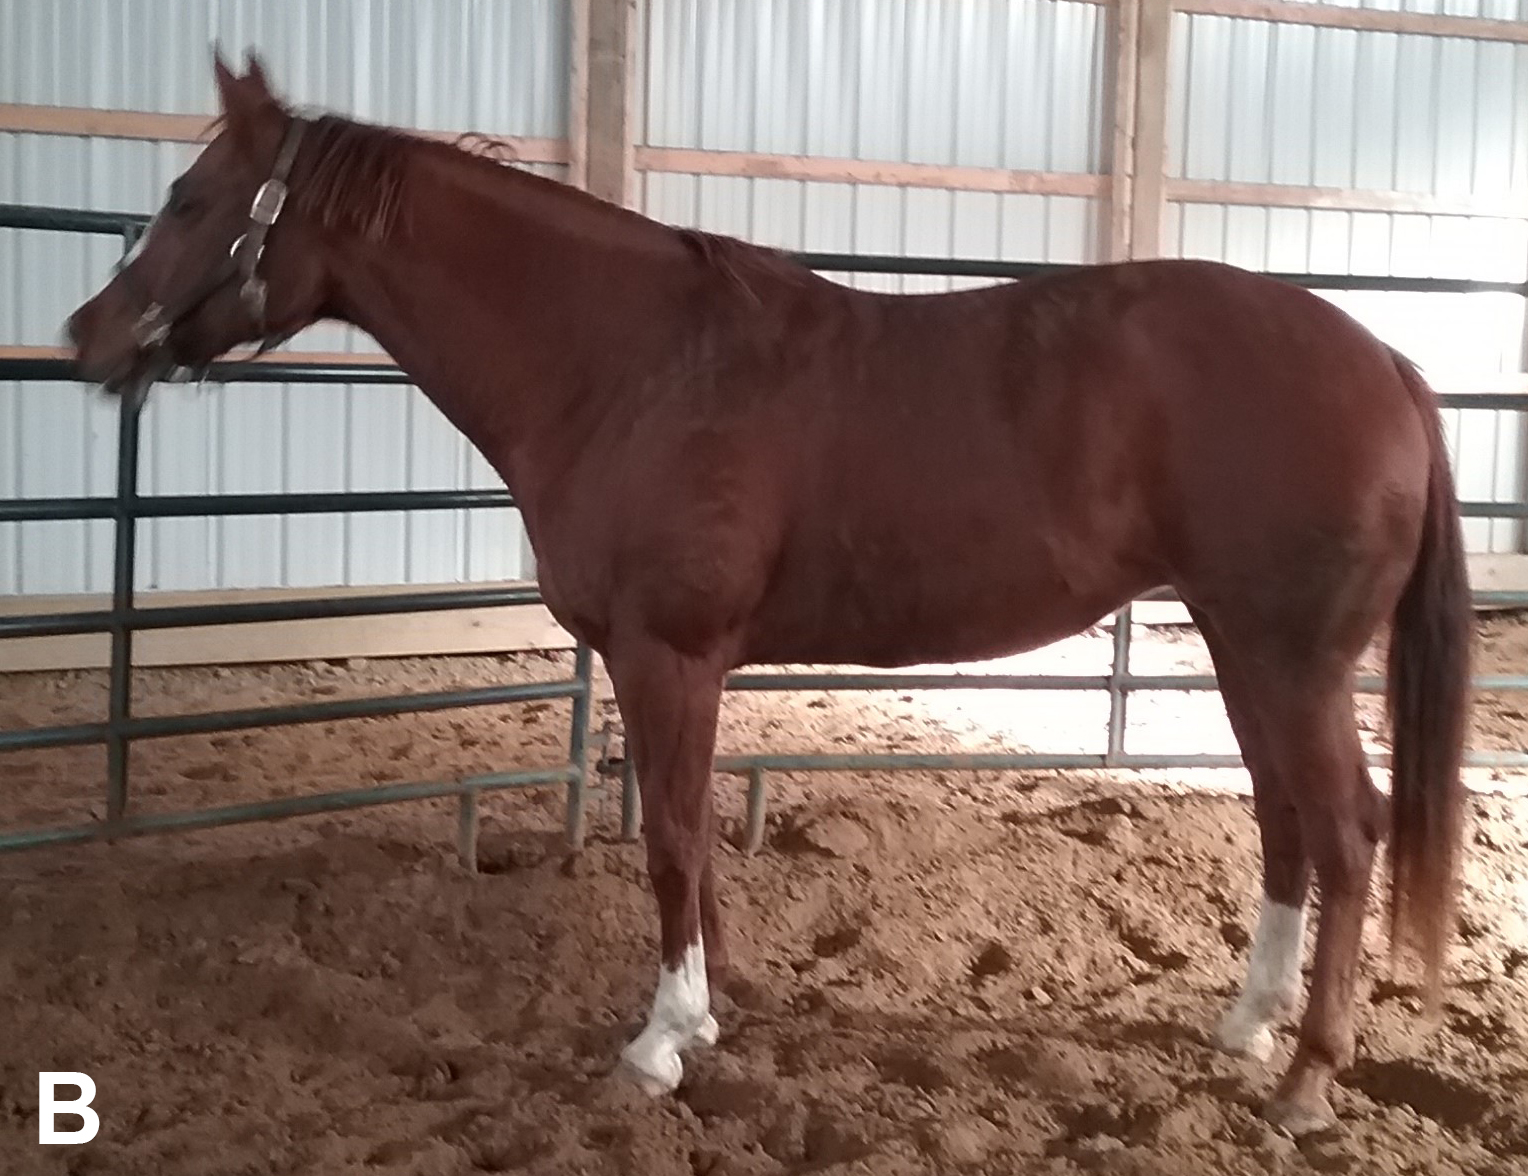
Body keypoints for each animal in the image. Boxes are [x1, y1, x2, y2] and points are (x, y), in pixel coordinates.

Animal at [66, 53, 1472, 1136]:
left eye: (192, 198)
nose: (88, 337)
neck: (630, 366)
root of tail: (1388, 364)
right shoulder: (679, 666)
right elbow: (688, 841)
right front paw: (707, 1016)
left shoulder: (666, 655)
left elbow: (677, 842)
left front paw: (660, 1042)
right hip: (1245, 648)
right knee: (1287, 825)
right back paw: (1244, 1027)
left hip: (1290, 658)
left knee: (1348, 834)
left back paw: (1304, 1084)